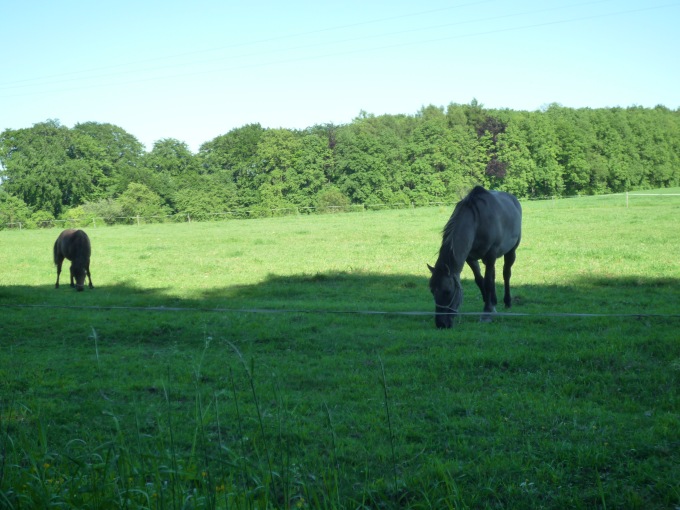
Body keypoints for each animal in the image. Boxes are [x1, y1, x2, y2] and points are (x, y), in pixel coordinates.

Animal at [428, 187, 524, 330]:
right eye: (432, 291)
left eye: (447, 292)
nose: (441, 324)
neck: (477, 223)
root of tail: (514, 200)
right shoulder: (471, 258)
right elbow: (480, 280)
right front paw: (490, 305)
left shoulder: (491, 255)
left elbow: (488, 282)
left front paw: (487, 312)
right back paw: (494, 300)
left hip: (511, 252)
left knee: (506, 274)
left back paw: (507, 302)